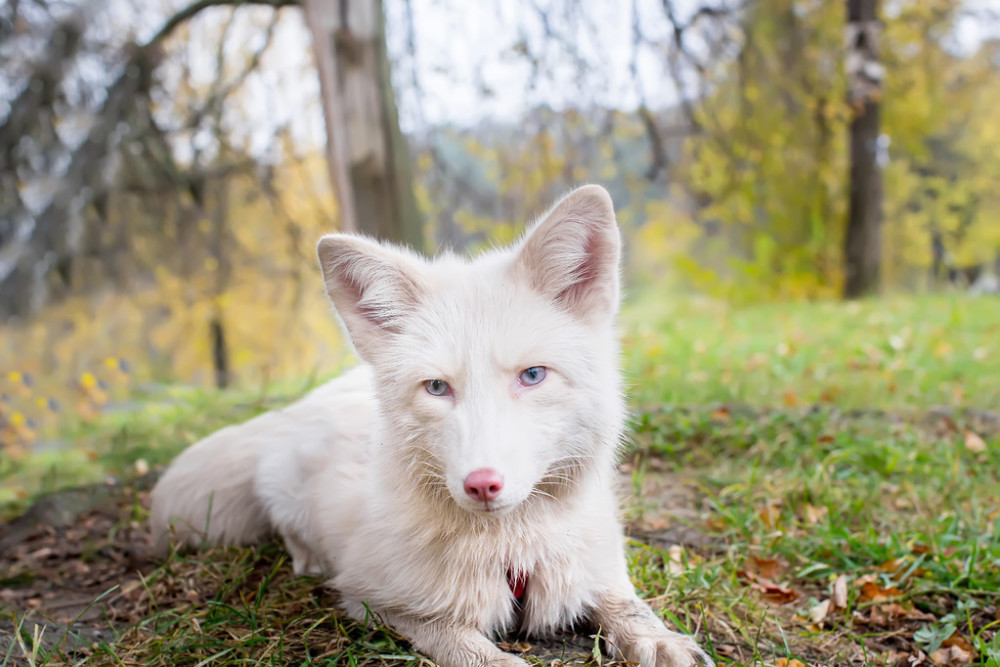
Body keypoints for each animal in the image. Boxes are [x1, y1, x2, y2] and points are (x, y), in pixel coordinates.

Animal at [146, 185, 712, 667]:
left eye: (532, 376)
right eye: (437, 387)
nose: (482, 484)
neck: (512, 550)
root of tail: (311, 397)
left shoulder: (594, 564)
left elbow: (626, 602)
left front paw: (660, 639)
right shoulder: (373, 596)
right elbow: (465, 644)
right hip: (290, 495)